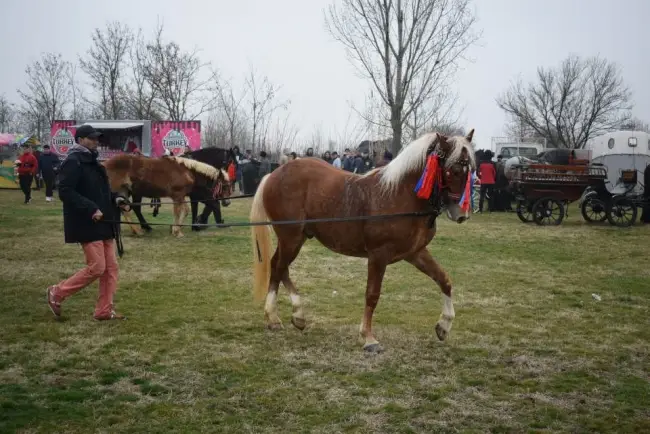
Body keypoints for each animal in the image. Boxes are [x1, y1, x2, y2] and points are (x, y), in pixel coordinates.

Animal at [248, 130, 476, 352]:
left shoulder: (415, 252)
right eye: (454, 170)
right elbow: (372, 294)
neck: (399, 195)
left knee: (278, 266)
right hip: (291, 237)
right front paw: (368, 337)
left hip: (296, 238)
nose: (461, 214)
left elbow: (443, 279)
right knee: (279, 267)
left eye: (470, 170)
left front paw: (444, 325)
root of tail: (274, 175)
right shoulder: (378, 255)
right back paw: (276, 316)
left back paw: (295, 316)